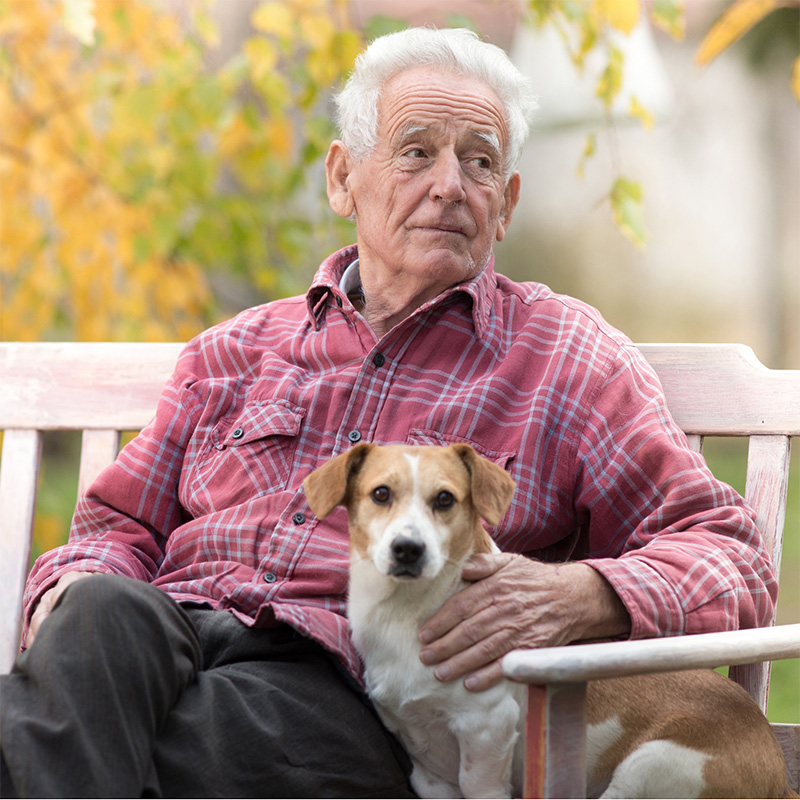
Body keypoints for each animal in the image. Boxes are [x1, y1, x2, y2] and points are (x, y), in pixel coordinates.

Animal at [304, 444, 792, 800]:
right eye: (380, 494)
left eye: (445, 499)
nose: (408, 548)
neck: (404, 615)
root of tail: (779, 774)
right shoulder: (428, 773)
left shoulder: (487, 728)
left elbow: (482, 781)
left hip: (651, 768)